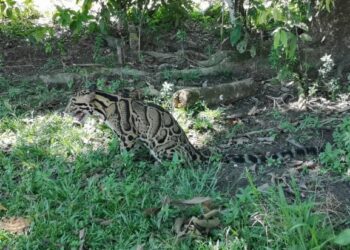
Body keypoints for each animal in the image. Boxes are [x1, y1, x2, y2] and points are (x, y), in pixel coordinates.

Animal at [65, 90, 320, 164]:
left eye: (72, 102)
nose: (64, 111)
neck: (105, 105)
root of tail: (193, 148)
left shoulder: (127, 135)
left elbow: (124, 151)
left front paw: (118, 162)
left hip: (162, 148)